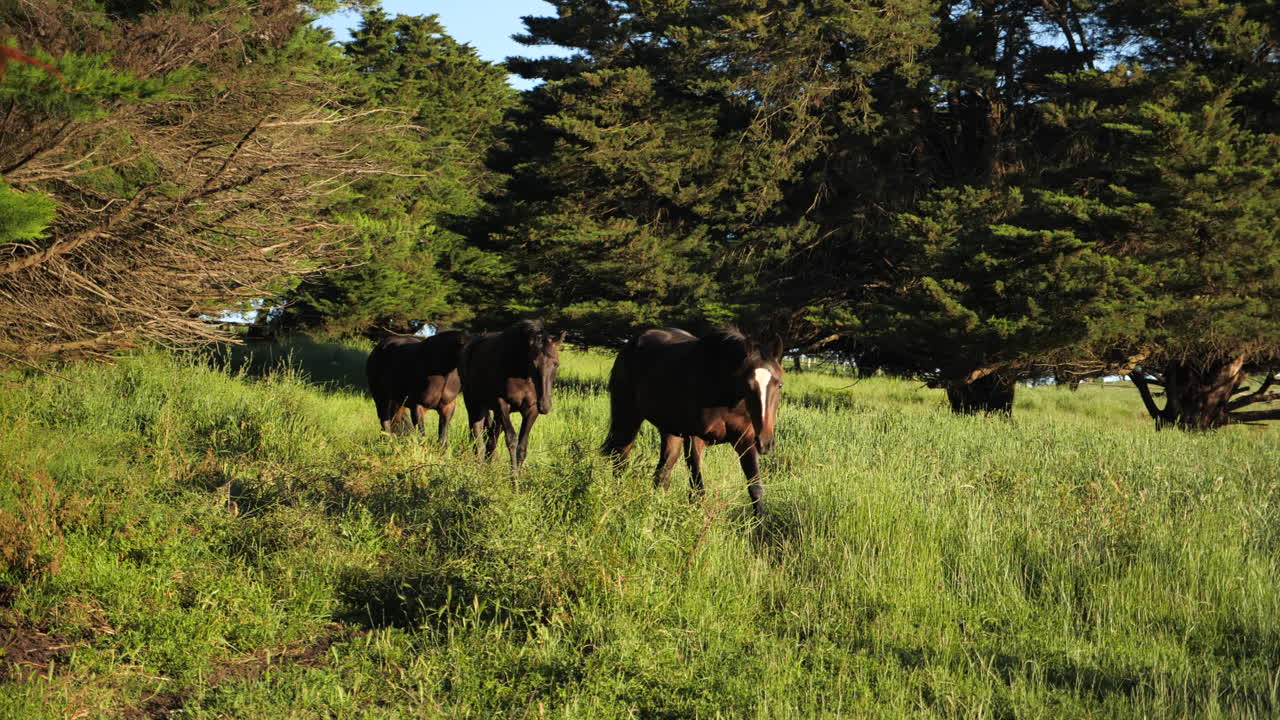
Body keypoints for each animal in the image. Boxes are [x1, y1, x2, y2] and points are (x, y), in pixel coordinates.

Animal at [459, 320, 564, 470]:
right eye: (533, 364)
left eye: (556, 364)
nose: (545, 406)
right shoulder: (502, 404)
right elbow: (511, 440)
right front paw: (513, 476)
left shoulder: (532, 409)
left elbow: (522, 446)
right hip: (473, 403)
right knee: (477, 435)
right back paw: (479, 466)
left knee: (492, 438)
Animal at [602, 327, 784, 516]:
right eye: (748, 386)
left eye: (779, 385)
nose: (765, 442)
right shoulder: (695, 439)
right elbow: (698, 491)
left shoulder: (745, 440)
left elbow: (756, 489)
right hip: (627, 419)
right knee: (620, 460)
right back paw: (619, 503)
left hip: (670, 432)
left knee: (662, 474)